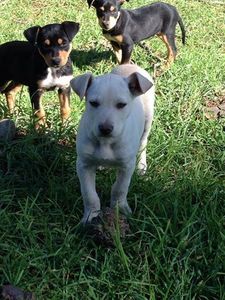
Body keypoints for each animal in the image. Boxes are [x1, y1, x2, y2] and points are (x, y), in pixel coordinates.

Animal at [70, 63, 155, 223]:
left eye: (121, 105)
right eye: (93, 103)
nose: (105, 129)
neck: (106, 142)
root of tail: (130, 65)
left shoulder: (127, 166)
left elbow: (120, 188)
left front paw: (120, 209)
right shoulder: (84, 165)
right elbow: (89, 194)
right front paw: (91, 216)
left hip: (148, 120)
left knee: (143, 143)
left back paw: (141, 166)